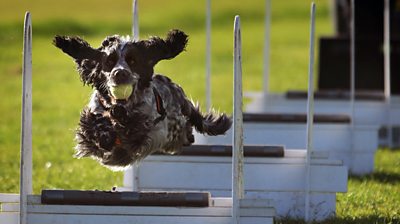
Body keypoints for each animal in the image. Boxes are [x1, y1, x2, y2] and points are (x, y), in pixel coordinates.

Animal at [54, 30, 233, 170]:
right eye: (109, 62)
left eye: (133, 61)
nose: (120, 73)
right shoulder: (93, 117)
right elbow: (93, 125)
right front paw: (104, 133)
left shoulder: (149, 130)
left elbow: (135, 128)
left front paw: (120, 122)